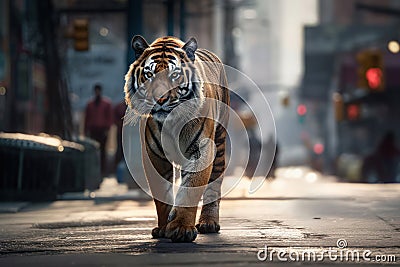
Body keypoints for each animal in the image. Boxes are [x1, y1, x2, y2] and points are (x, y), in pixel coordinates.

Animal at [123, 36, 230, 245]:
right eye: (149, 75)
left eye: (174, 75)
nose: (160, 99)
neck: (172, 122)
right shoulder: (154, 155)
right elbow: (162, 195)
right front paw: (165, 228)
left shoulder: (201, 150)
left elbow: (191, 188)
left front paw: (181, 228)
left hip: (219, 145)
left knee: (214, 185)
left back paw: (209, 222)